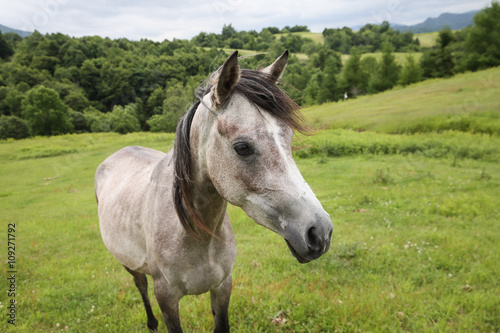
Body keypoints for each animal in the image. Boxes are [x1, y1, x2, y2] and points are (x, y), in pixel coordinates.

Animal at [95, 50, 334, 332]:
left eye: (288, 136)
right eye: (242, 148)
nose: (320, 233)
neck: (195, 234)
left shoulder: (222, 287)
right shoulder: (166, 298)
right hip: (129, 263)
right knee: (140, 284)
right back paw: (151, 323)